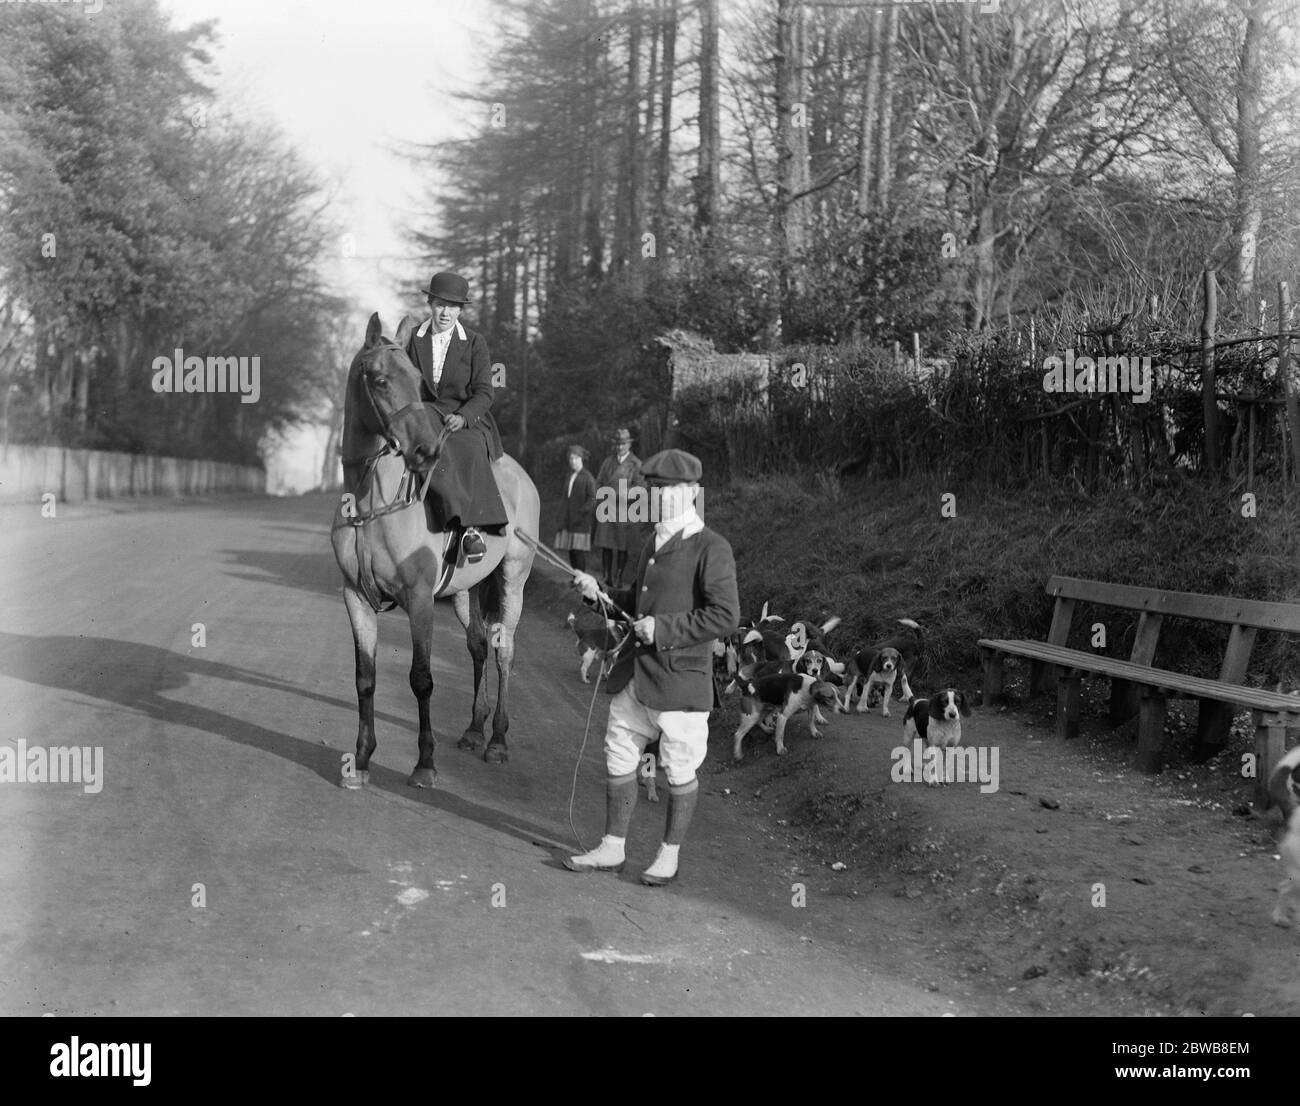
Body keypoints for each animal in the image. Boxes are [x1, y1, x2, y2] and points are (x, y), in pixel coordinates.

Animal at [335, 311, 543, 784]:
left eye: (416, 379)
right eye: (379, 380)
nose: (426, 451)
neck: (372, 502)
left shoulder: (419, 600)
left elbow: (421, 678)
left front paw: (425, 763)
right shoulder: (355, 597)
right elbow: (364, 677)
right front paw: (361, 759)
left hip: (513, 580)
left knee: (504, 650)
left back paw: (497, 740)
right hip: (465, 589)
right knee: (478, 646)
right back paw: (473, 730)